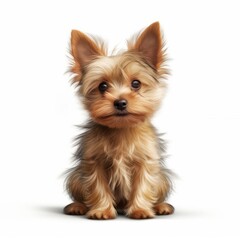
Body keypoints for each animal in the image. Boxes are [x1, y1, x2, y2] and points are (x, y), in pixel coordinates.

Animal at [63, 22, 174, 219]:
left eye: (136, 84)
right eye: (102, 86)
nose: (120, 102)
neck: (121, 128)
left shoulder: (144, 162)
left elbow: (143, 184)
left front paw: (140, 210)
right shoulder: (94, 163)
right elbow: (98, 187)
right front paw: (101, 210)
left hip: (162, 180)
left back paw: (161, 206)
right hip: (75, 178)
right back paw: (77, 206)